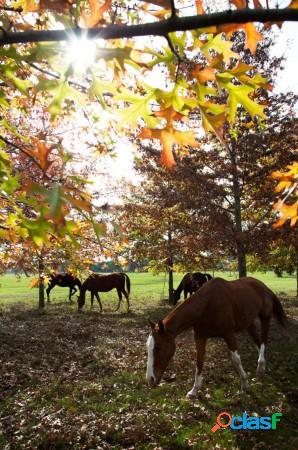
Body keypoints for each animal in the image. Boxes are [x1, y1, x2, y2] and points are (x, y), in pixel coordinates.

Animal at [146, 278, 288, 398]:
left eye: (158, 347)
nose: (150, 379)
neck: (207, 304)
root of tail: (264, 286)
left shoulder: (228, 334)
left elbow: (236, 359)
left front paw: (245, 384)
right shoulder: (200, 336)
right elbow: (199, 361)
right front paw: (194, 391)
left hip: (265, 317)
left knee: (263, 341)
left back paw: (260, 366)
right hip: (249, 323)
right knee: (258, 342)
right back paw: (262, 368)